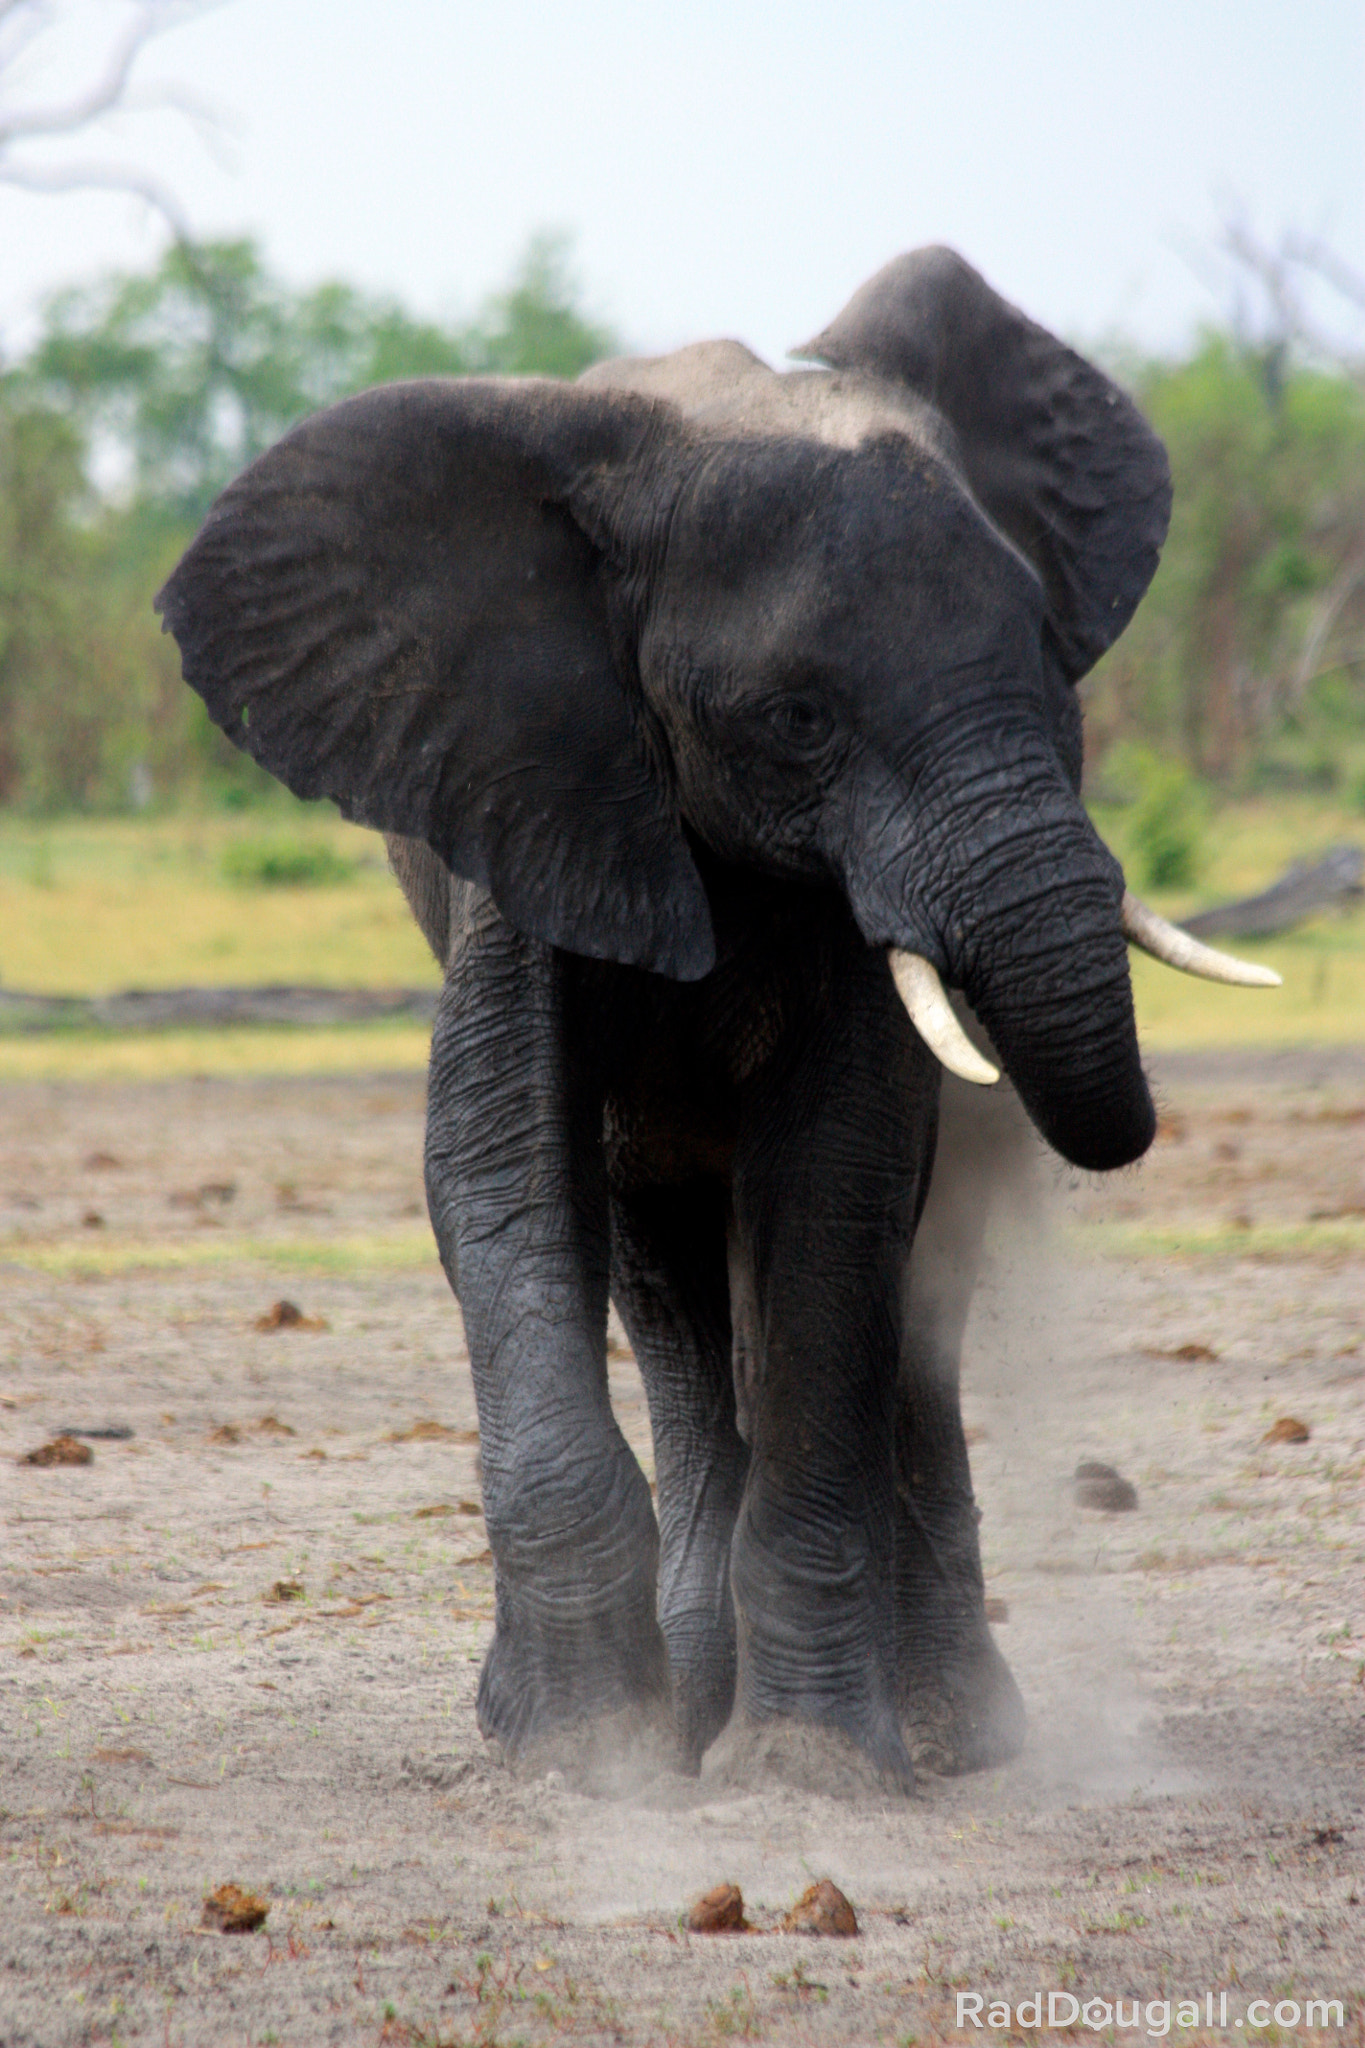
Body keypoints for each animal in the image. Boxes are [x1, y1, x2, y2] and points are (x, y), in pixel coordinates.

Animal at [157, 246, 1276, 1791]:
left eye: (1057, 669)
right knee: (666, 1282)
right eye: (797, 719)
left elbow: (836, 1184)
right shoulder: (529, 789)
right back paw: (689, 1715)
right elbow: (498, 1162)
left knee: (898, 1290)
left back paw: (949, 1734)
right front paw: (583, 1758)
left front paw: (807, 1772)